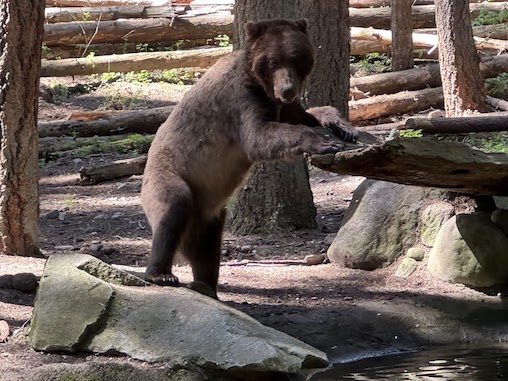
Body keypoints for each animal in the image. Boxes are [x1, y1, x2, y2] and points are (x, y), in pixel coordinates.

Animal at [141, 17, 358, 294]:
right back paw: (161, 274)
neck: (263, 87)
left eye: (296, 57)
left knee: (207, 249)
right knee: (172, 210)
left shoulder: (281, 105)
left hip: (209, 212)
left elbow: (304, 115)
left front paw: (344, 127)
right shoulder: (240, 100)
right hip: (171, 174)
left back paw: (206, 285)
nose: (288, 89)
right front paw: (324, 142)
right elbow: (259, 137)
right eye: (273, 61)